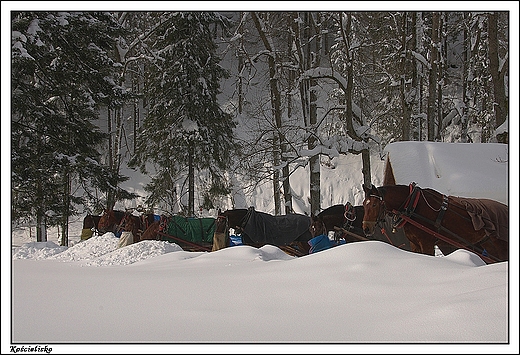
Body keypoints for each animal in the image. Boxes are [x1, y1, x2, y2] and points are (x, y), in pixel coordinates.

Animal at [362, 184, 508, 264]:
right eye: (364, 204)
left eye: (374, 204)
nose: (366, 228)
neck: (413, 206)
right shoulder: (414, 244)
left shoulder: (427, 243)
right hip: (487, 243)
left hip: (500, 244)